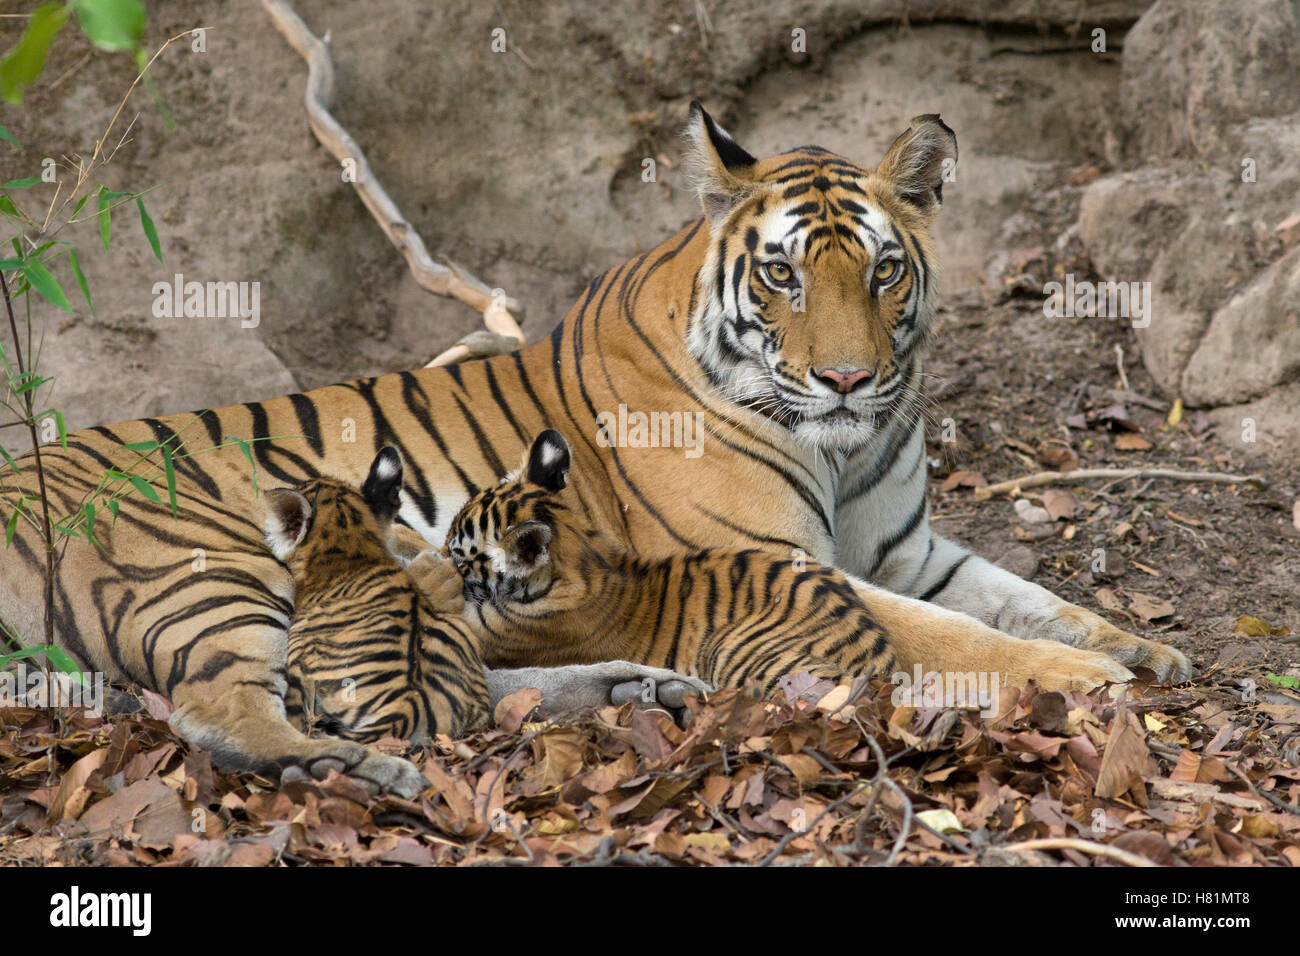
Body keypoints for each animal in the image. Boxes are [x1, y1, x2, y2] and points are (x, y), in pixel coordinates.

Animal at [0, 106, 1190, 785]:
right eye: (782, 274)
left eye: (884, 271)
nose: (848, 378)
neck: (846, 445)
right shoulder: (796, 560)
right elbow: (946, 634)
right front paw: (1084, 678)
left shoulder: (903, 546)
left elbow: (1016, 595)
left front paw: (1139, 644)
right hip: (214, 566)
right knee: (221, 707)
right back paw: (347, 766)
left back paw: (634, 690)